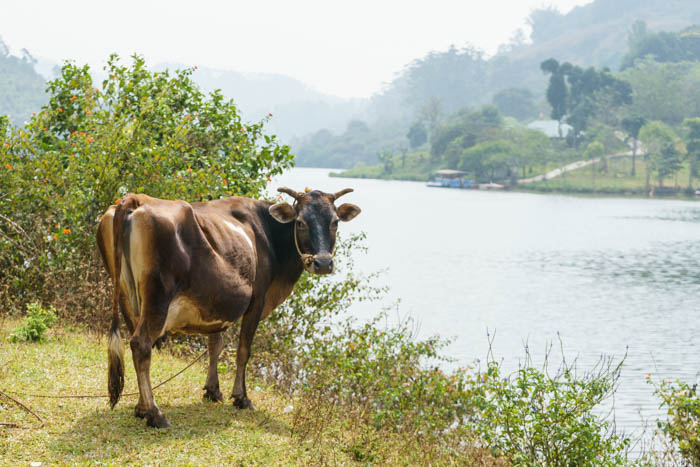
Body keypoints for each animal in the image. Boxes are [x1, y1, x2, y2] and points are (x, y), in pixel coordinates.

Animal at [95, 186, 360, 428]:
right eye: (301, 222)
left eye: (335, 222)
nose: (323, 263)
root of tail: (136, 199)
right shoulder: (257, 300)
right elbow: (243, 351)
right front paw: (241, 397)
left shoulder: (216, 304)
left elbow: (215, 345)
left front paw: (213, 391)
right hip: (157, 299)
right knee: (141, 345)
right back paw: (154, 414)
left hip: (126, 296)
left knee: (136, 344)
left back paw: (141, 407)